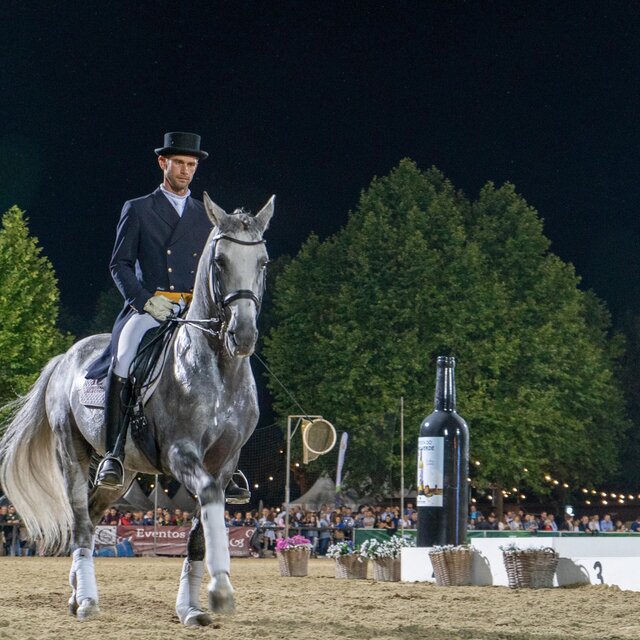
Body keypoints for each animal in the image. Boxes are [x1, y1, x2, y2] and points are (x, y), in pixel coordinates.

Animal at [0, 193, 274, 625]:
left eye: (262, 261)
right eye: (220, 262)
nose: (242, 335)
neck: (217, 367)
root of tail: (64, 358)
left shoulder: (224, 460)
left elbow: (200, 531)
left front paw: (191, 608)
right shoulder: (181, 453)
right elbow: (209, 499)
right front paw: (220, 589)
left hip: (123, 472)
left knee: (93, 513)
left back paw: (76, 591)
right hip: (71, 454)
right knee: (81, 520)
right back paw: (87, 601)